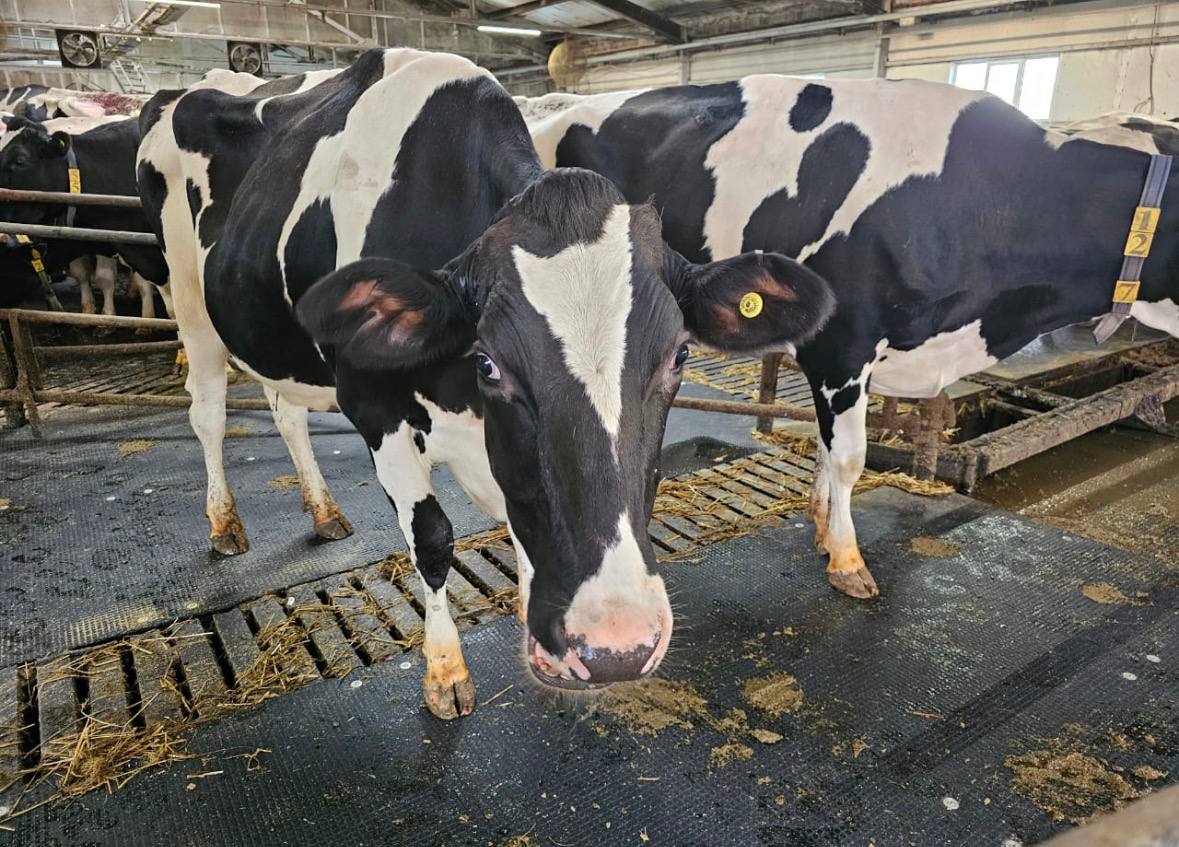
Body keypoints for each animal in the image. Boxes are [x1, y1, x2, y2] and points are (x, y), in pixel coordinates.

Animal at [137, 50, 834, 718]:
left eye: (680, 356)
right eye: (491, 362)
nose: (618, 646)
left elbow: (521, 523)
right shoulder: (374, 406)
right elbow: (432, 538)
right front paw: (445, 672)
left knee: (286, 410)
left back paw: (325, 511)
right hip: (187, 297)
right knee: (208, 413)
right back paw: (224, 526)